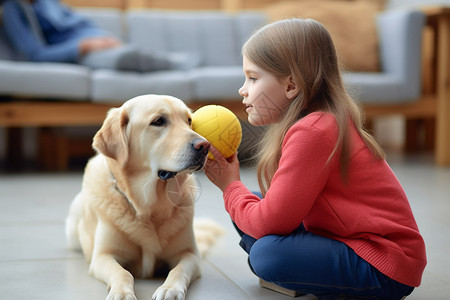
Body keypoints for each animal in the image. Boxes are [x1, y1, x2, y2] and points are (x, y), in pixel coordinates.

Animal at [65, 94, 223, 300]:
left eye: (189, 120)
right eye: (158, 121)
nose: (205, 146)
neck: (150, 207)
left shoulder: (190, 254)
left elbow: (178, 270)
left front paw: (170, 289)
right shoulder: (103, 256)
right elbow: (122, 272)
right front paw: (122, 293)